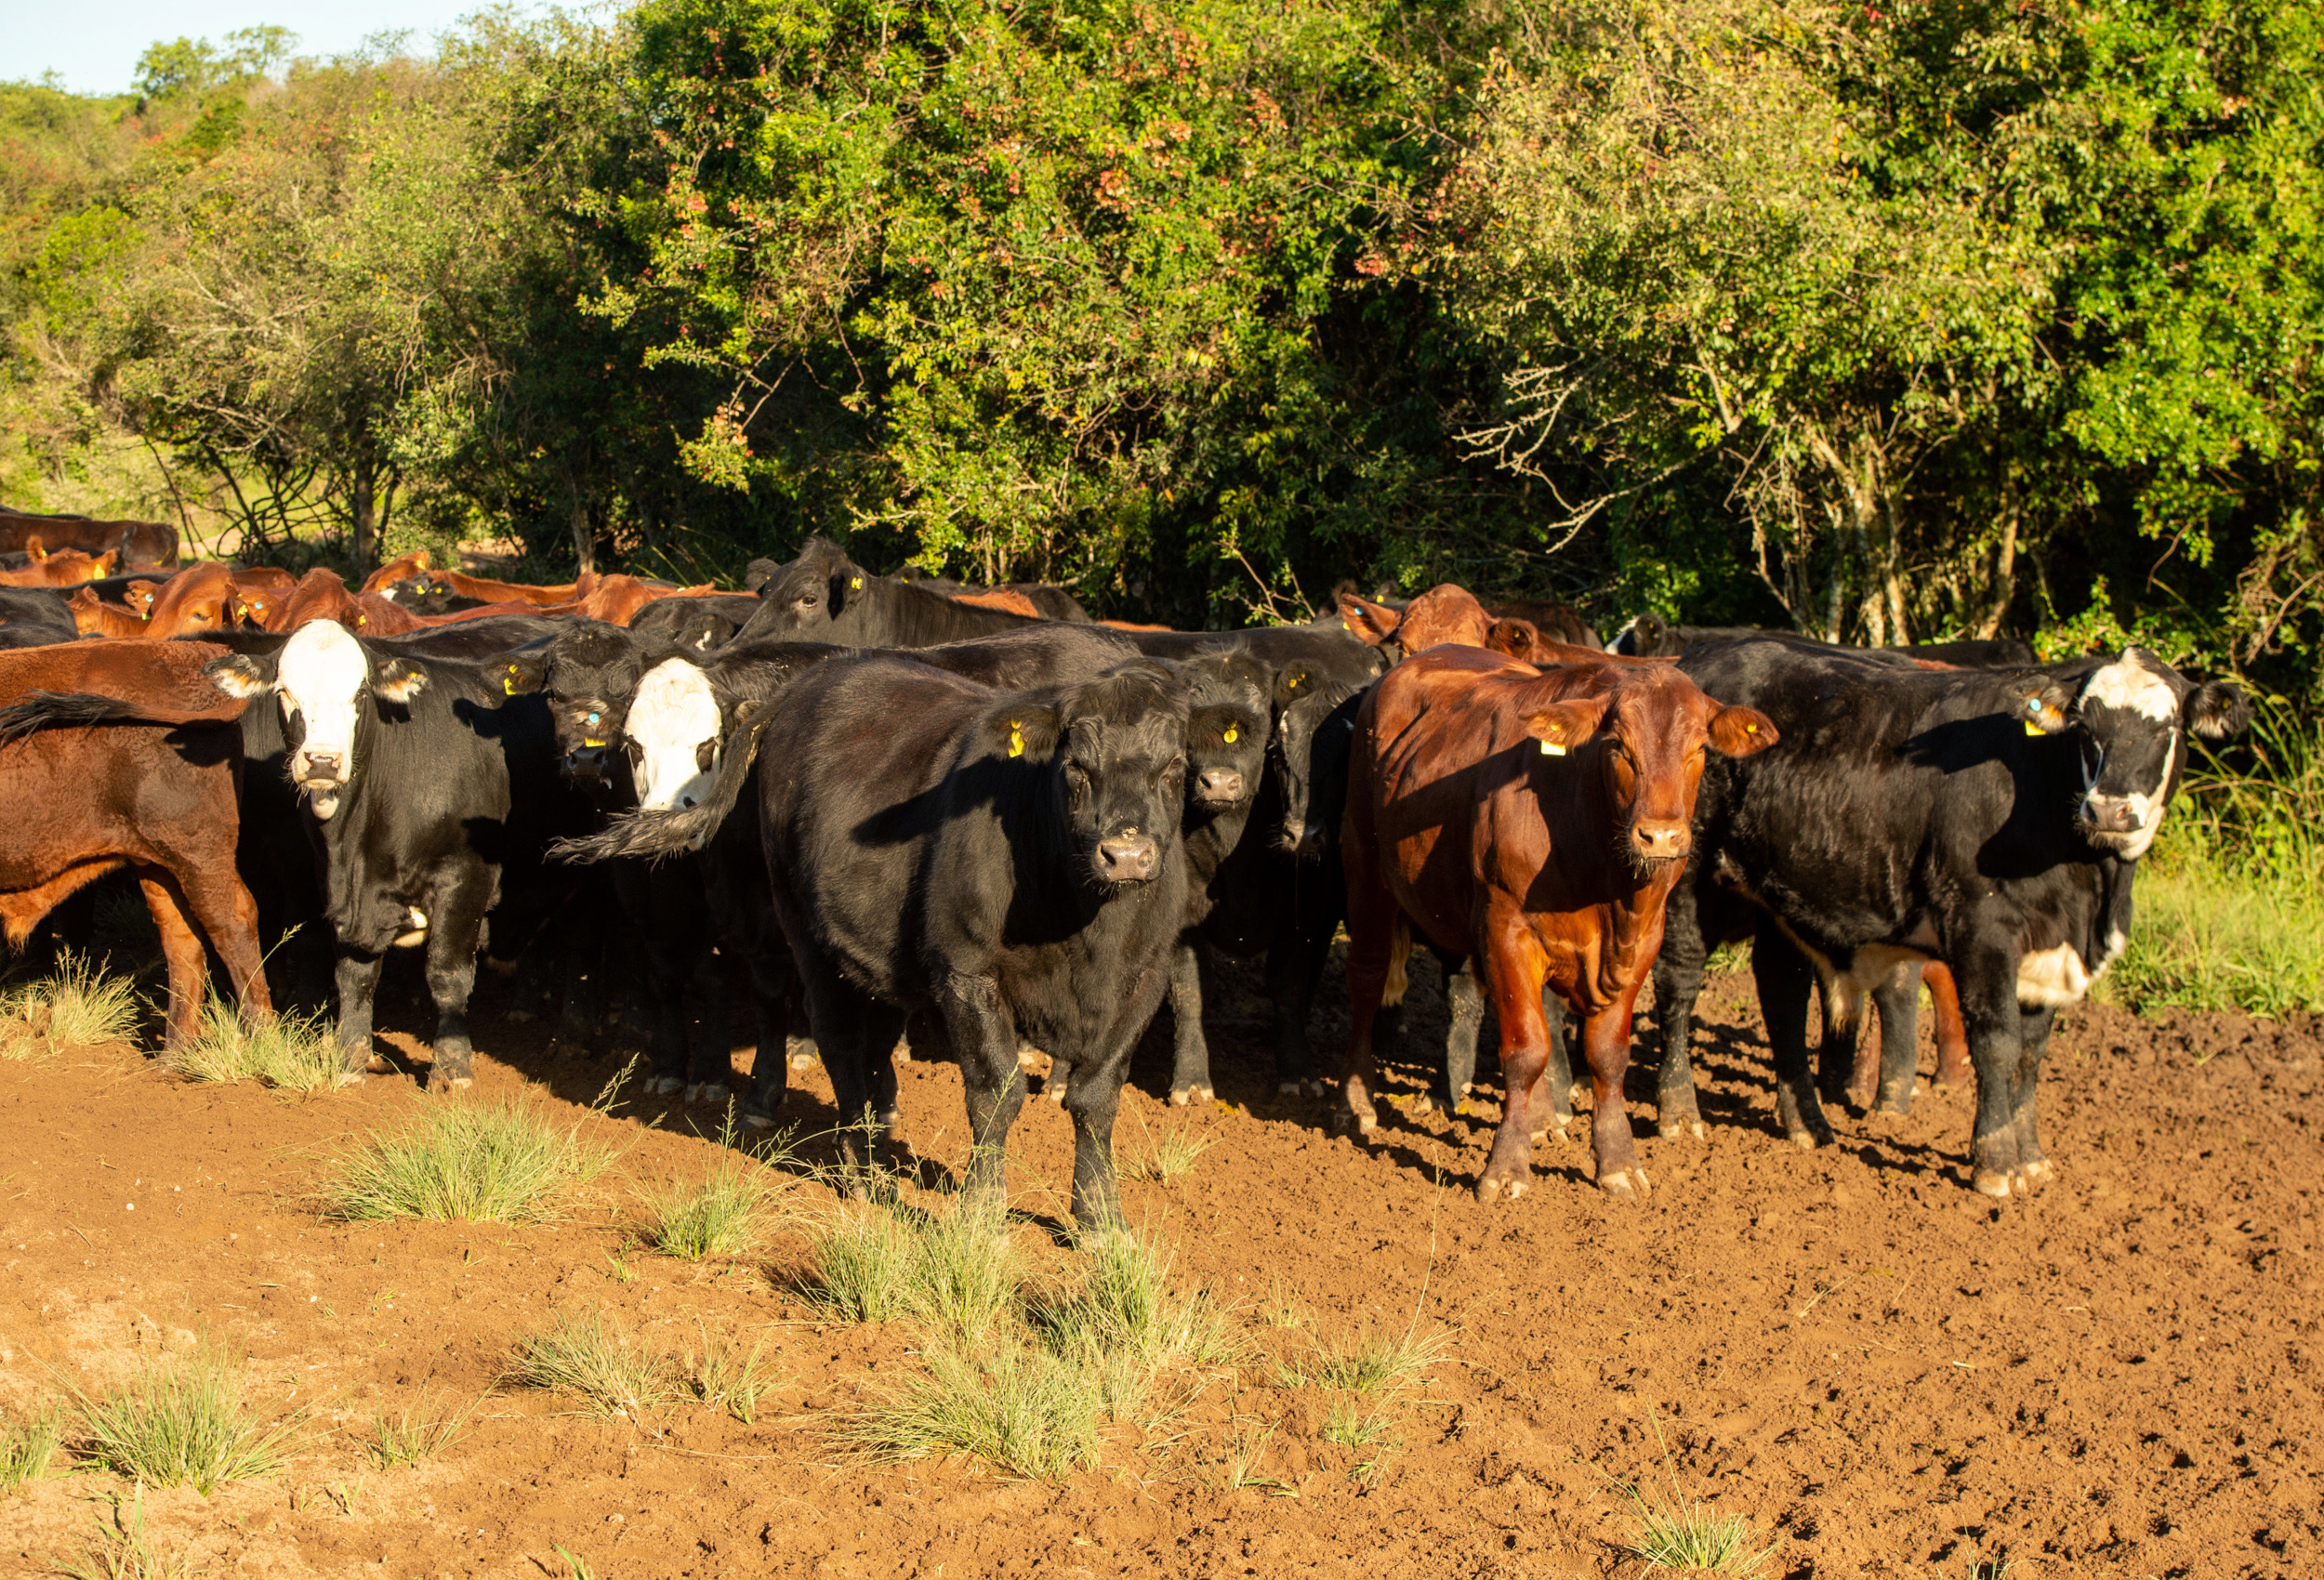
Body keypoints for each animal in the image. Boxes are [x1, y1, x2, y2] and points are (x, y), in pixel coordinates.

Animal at [0, 637, 271, 1055]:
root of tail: (199, 650)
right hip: (159, 865)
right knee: (182, 940)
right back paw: (175, 1054)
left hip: (199, 856)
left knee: (233, 924)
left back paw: (263, 1042)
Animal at [1329, 641, 1776, 1199]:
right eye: (1618, 746)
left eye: (1698, 748)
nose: (1661, 836)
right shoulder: (1506, 926)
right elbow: (1525, 1048)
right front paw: (1505, 1168)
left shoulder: (1644, 940)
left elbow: (1606, 1053)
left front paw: (1617, 1161)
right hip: (1364, 867)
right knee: (1367, 980)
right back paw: (1355, 1101)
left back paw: (1543, 1119)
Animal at [1655, 641, 2250, 1199]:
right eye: (2085, 727)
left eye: (2167, 727)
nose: (2108, 808)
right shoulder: (1982, 929)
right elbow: (1997, 1043)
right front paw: (1996, 1163)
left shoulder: (2049, 953)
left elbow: (2031, 1055)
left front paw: (2032, 1158)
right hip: (1685, 875)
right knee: (1679, 982)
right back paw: (1679, 1112)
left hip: (1778, 891)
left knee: (1782, 993)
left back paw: (1808, 1123)